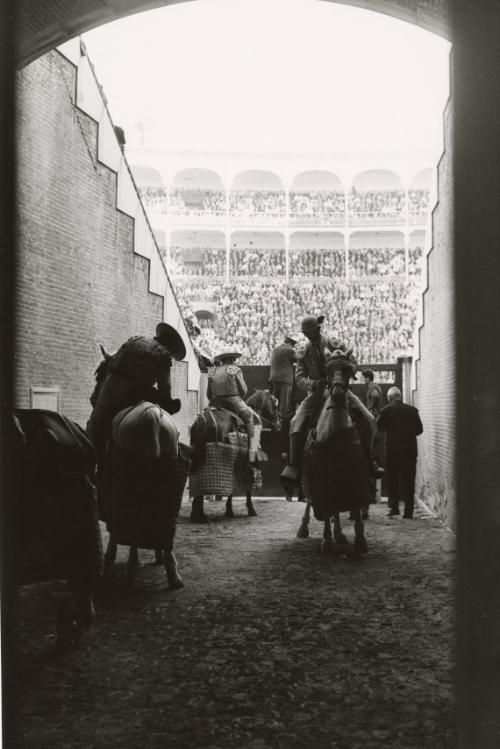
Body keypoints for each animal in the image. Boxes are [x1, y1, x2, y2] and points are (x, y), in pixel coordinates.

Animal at [89, 348, 188, 588]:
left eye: (100, 374)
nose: (93, 398)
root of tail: (152, 417)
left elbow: (115, 526)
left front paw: (110, 555)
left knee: (134, 527)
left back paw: (131, 573)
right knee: (164, 527)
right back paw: (172, 573)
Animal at [188, 388, 280, 524]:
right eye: (275, 402)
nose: (279, 423)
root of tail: (202, 421)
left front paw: (229, 510)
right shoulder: (247, 462)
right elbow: (245, 488)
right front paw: (248, 510)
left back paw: (198, 515)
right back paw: (200, 516)